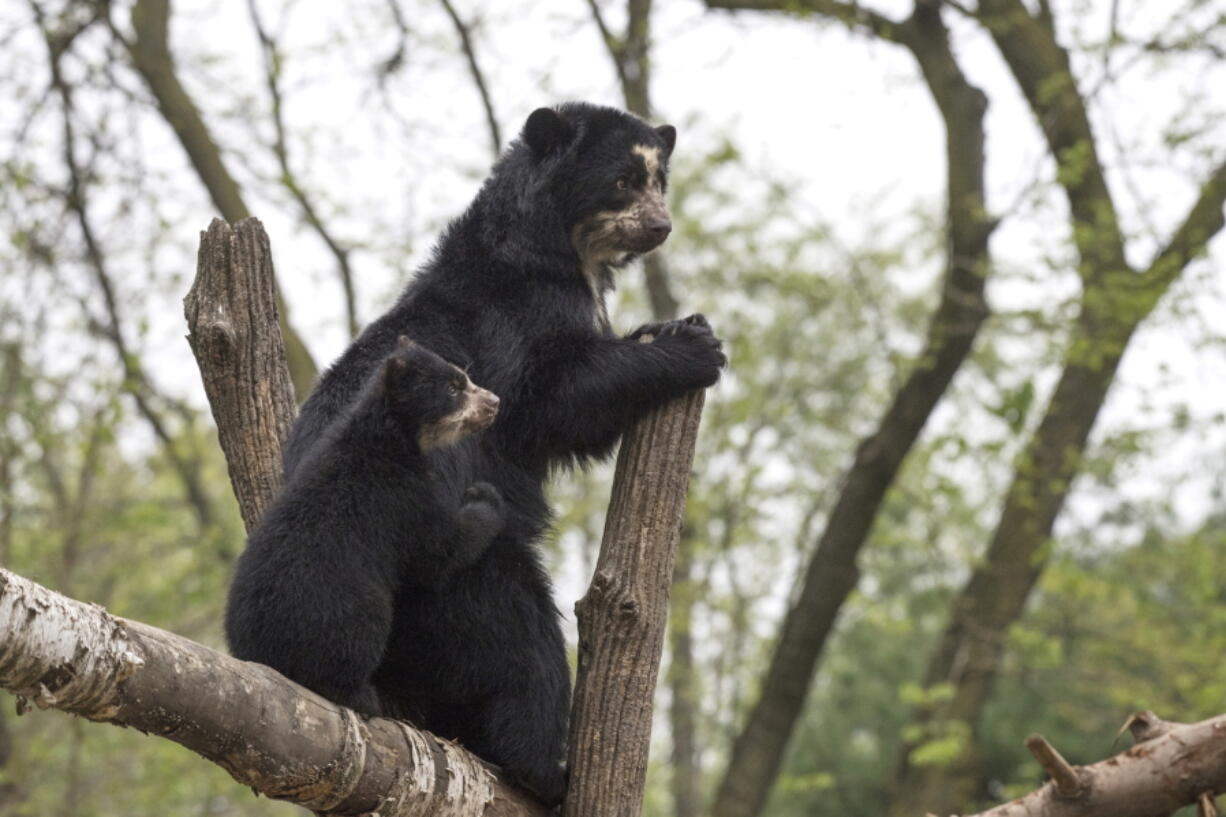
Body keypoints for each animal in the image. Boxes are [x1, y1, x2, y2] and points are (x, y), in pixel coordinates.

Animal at [281, 101, 720, 799]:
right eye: (622, 181)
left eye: (661, 181)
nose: (660, 228)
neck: (561, 252)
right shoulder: (512, 325)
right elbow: (555, 399)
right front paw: (692, 344)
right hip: (458, 569)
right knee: (522, 644)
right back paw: (546, 769)